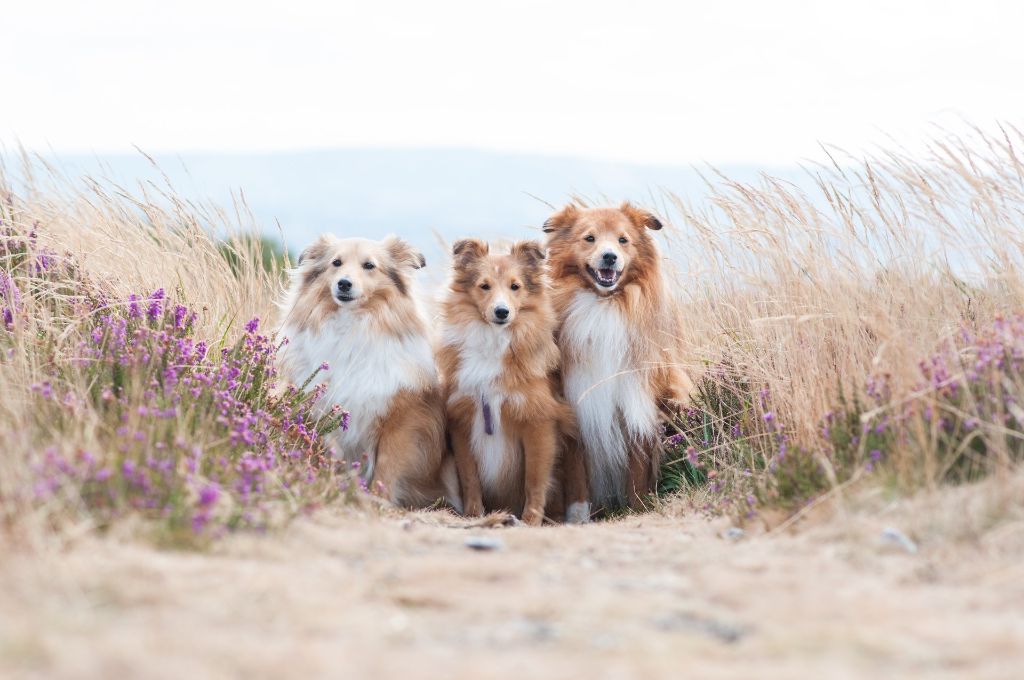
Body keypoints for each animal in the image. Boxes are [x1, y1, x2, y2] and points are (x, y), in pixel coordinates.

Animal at [276, 235, 460, 510]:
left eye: (369, 265)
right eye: (336, 262)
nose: (344, 283)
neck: (352, 325)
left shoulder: (402, 420)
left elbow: (387, 466)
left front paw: (377, 501)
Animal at [438, 238, 573, 524]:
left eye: (515, 286)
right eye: (484, 285)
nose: (502, 312)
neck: (494, 340)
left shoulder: (538, 422)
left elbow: (534, 479)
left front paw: (530, 521)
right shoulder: (462, 420)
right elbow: (469, 476)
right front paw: (474, 515)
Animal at [544, 201, 688, 520]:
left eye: (623, 240)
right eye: (589, 238)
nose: (609, 257)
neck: (605, 305)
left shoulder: (636, 400)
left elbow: (637, 469)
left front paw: (639, 507)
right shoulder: (578, 406)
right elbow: (577, 477)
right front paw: (578, 518)